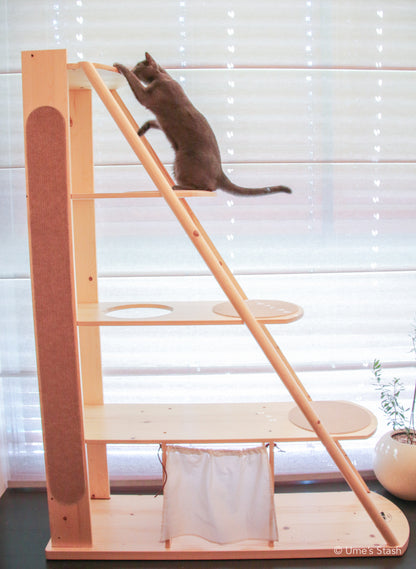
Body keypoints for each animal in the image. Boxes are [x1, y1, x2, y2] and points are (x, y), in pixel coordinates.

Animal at [112, 53, 290, 195]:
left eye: (138, 65)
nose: (133, 67)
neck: (163, 77)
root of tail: (220, 172)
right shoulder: (161, 121)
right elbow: (152, 121)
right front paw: (141, 130)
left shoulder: (147, 96)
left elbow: (135, 83)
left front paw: (120, 66)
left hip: (183, 160)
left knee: (208, 188)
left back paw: (178, 187)